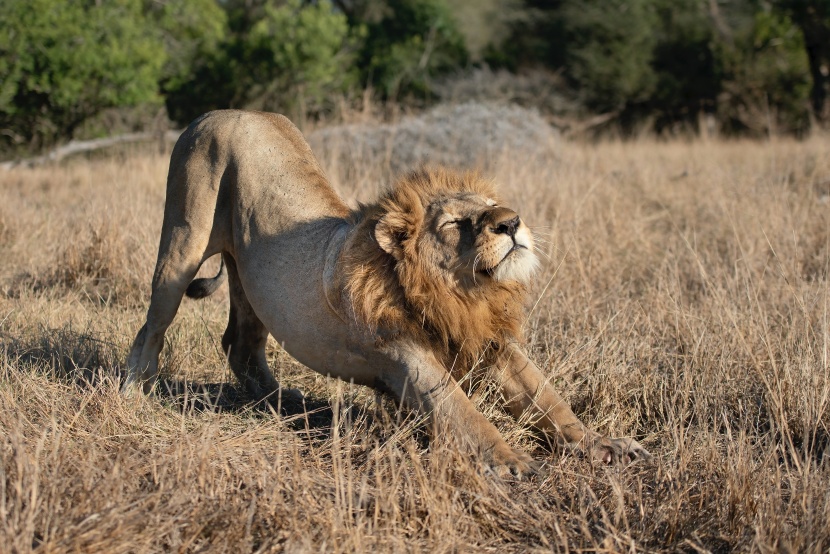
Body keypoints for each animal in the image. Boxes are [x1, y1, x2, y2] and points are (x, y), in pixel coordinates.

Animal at [125, 109, 656, 474]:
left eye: (491, 205)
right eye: (455, 223)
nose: (511, 222)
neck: (465, 295)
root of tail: (221, 111)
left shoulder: (493, 343)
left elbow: (551, 401)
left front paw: (603, 444)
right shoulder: (408, 356)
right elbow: (463, 413)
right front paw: (512, 461)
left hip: (251, 282)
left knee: (240, 345)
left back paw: (288, 404)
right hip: (182, 240)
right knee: (150, 330)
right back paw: (134, 394)